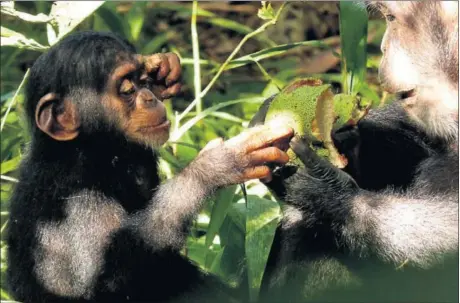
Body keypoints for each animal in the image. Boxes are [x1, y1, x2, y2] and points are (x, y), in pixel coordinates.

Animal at [5, 31, 292, 303]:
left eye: (142, 81)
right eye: (127, 90)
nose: (150, 97)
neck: (92, 150)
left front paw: (162, 67)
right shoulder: (74, 203)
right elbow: (109, 279)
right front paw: (215, 165)